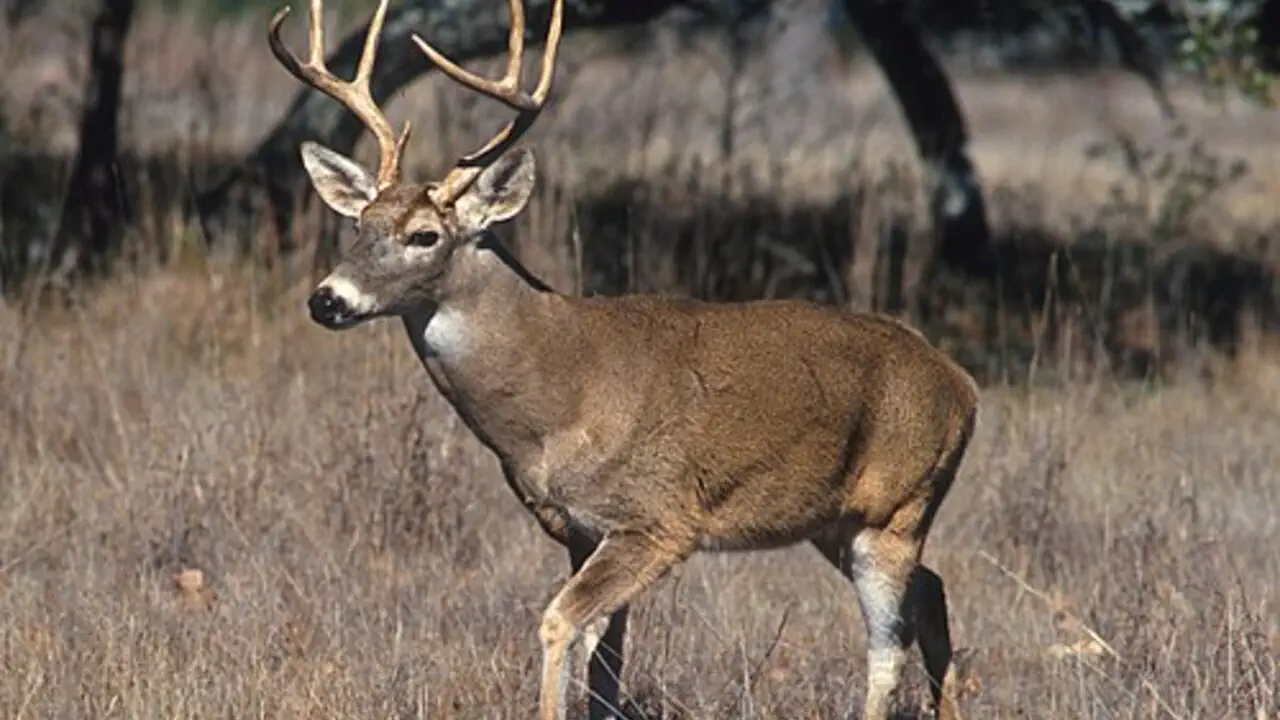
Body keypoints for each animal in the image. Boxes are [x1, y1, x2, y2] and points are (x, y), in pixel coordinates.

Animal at [266, 0, 979, 718]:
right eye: (359, 226)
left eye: (424, 235)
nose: (327, 299)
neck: (558, 397)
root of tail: (963, 384)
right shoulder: (580, 529)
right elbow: (605, 659)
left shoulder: (657, 519)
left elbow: (560, 623)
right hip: (835, 521)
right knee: (934, 592)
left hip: (897, 505)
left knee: (888, 645)